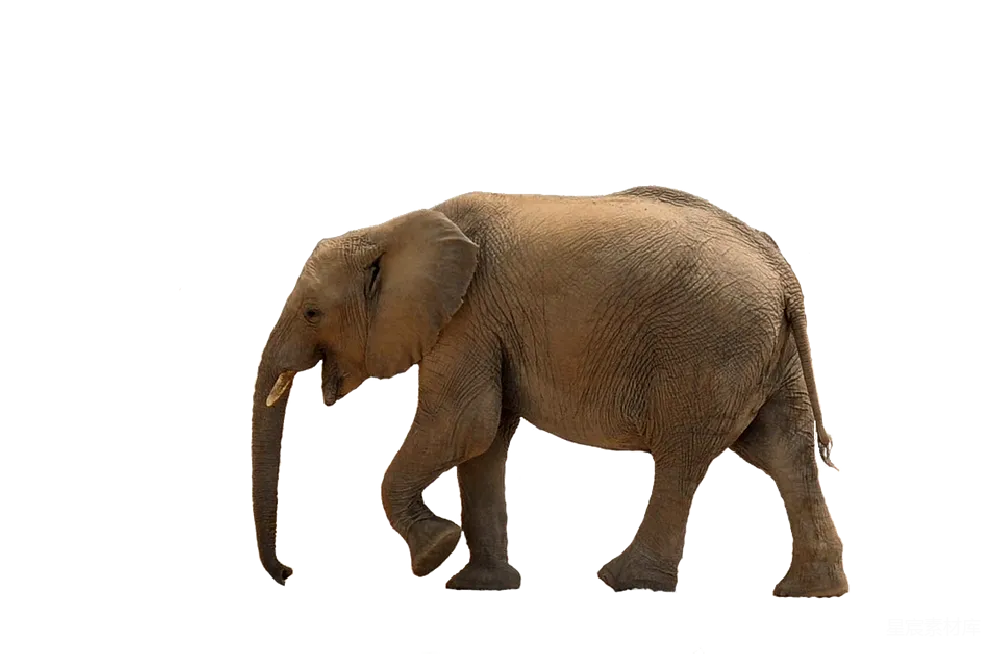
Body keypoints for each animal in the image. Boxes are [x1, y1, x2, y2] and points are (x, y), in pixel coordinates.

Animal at [250, 185, 849, 597]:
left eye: (311, 313)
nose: (288, 572)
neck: (391, 231)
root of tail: (784, 276)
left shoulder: (468, 318)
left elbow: (462, 425)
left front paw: (434, 555)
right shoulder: (484, 326)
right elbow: (485, 438)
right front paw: (479, 585)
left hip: (710, 346)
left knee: (684, 456)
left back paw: (625, 580)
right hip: (770, 354)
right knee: (783, 451)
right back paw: (808, 592)